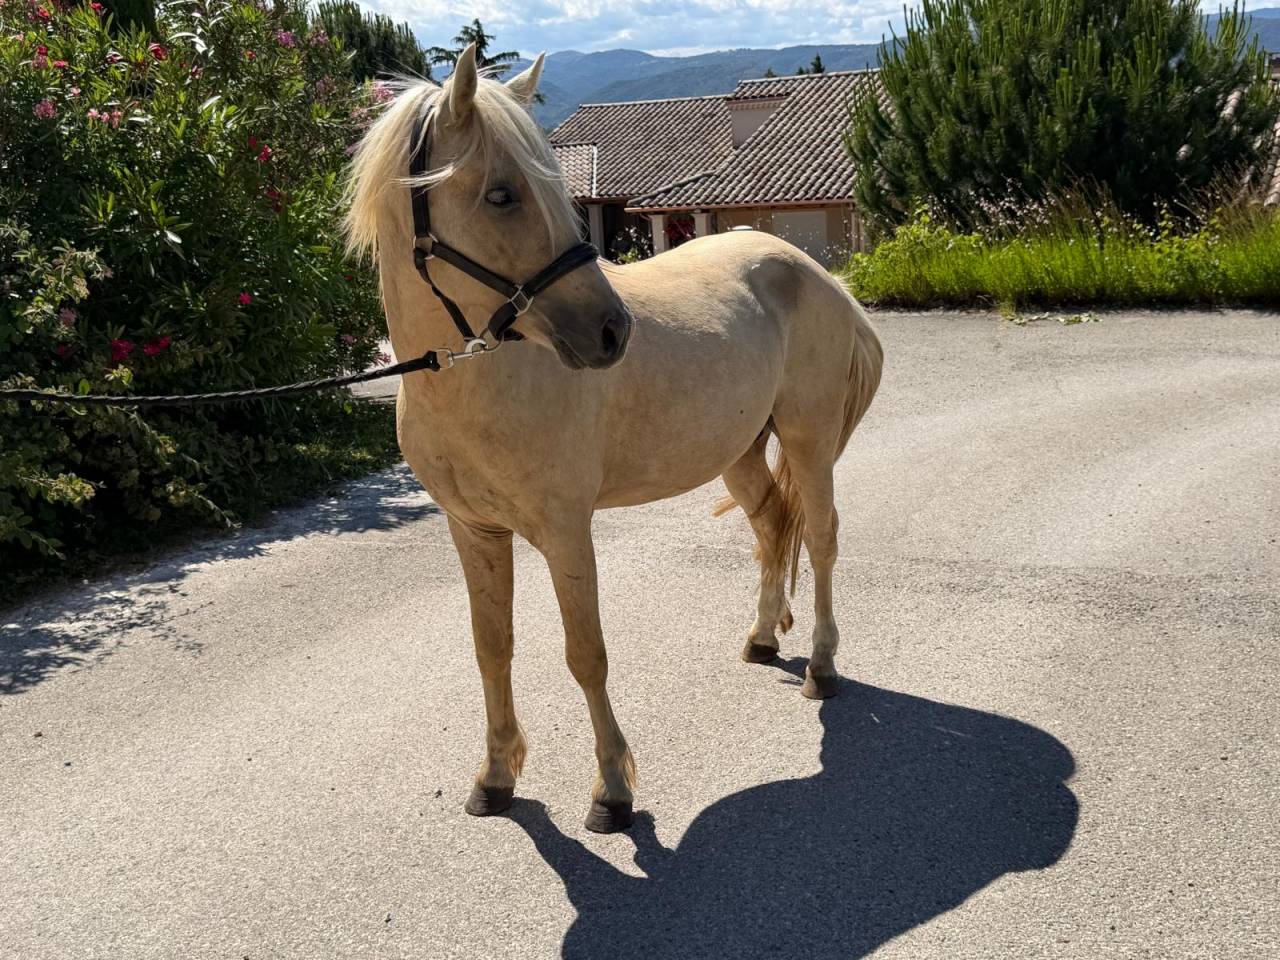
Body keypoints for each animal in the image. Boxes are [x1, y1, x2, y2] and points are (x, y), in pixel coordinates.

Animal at [344, 44, 884, 833]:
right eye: (501, 195)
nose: (611, 332)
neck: (479, 380)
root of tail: (812, 271)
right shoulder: (473, 530)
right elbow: (492, 648)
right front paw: (496, 776)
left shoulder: (567, 531)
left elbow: (585, 654)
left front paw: (612, 791)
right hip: (739, 453)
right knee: (769, 528)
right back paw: (761, 638)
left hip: (808, 441)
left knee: (818, 538)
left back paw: (820, 665)